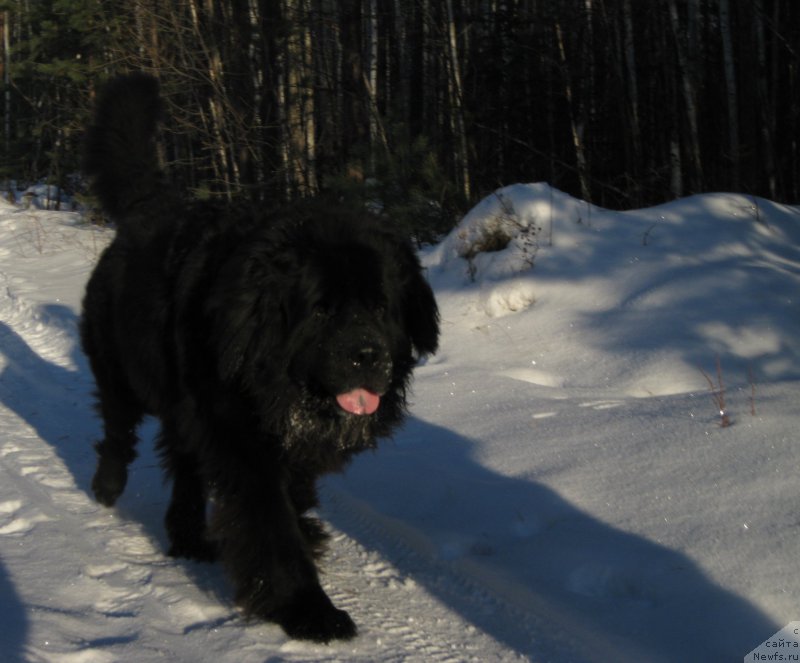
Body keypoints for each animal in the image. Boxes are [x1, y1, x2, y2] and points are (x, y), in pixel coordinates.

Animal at [80, 74, 440, 644]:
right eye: (320, 310)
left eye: (381, 307)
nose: (369, 355)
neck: (271, 379)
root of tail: (148, 206)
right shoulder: (240, 438)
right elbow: (270, 524)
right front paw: (309, 608)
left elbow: (291, 499)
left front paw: (307, 536)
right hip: (120, 367)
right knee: (118, 430)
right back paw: (107, 487)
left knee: (183, 463)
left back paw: (188, 537)